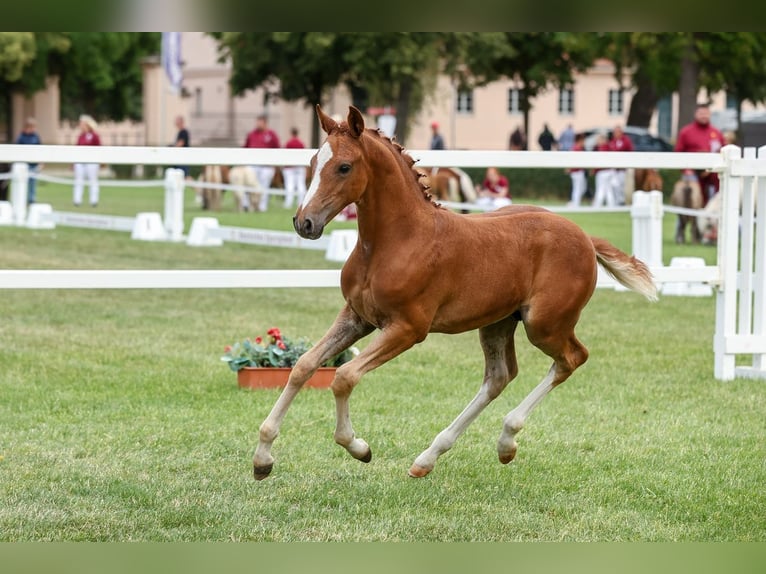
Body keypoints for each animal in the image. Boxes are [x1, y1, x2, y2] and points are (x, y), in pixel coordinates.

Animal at [252, 105, 657, 480]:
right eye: (312, 161)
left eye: (344, 167)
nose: (304, 223)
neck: (395, 241)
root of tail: (585, 237)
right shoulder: (356, 317)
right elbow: (304, 366)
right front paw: (262, 458)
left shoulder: (408, 328)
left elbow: (344, 376)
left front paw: (359, 447)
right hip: (498, 322)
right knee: (499, 376)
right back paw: (429, 458)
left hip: (544, 324)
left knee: (572, 358)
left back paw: (505, 440)